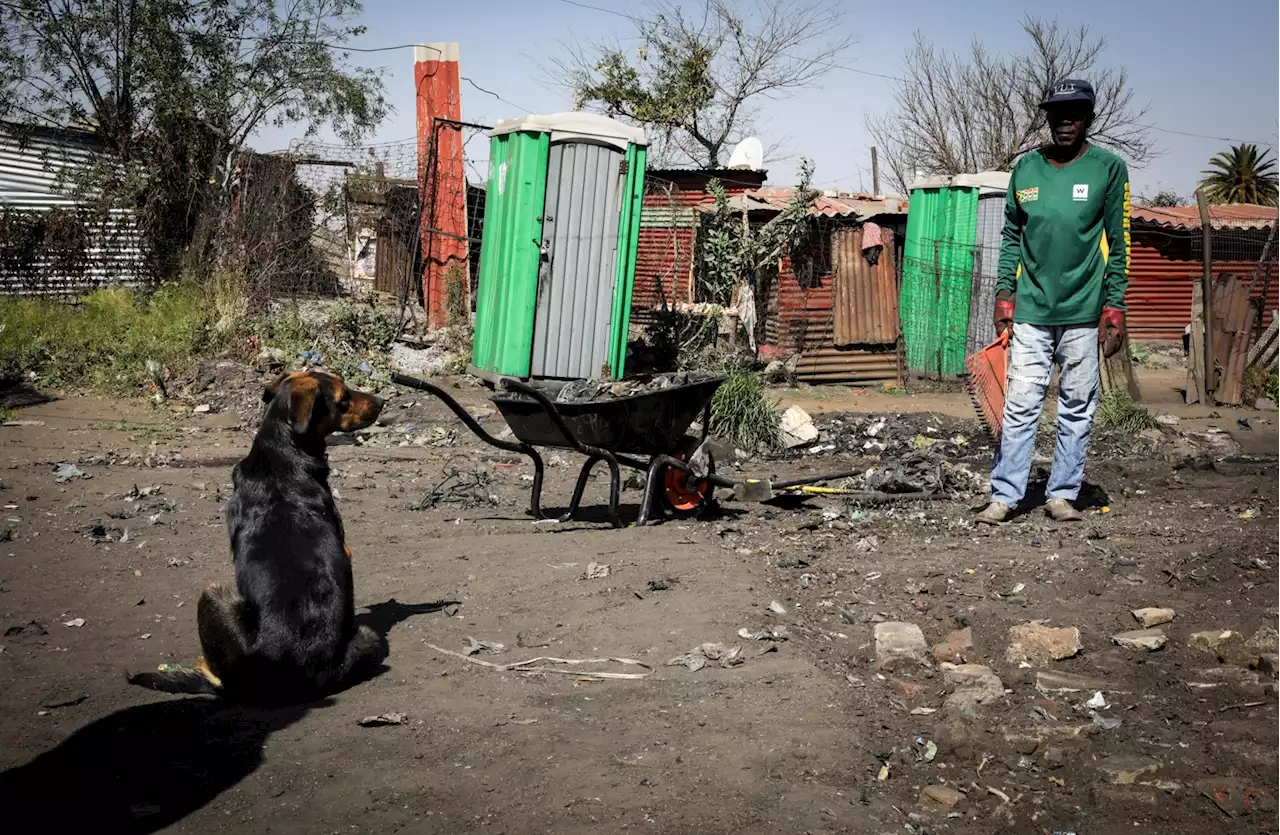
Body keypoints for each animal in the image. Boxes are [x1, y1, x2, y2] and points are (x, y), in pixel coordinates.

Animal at [130, 368, 391, 701]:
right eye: (343, 397)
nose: (382, 402)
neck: (282, 451)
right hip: (368, 640)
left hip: (212, 593)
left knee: (218, 677)